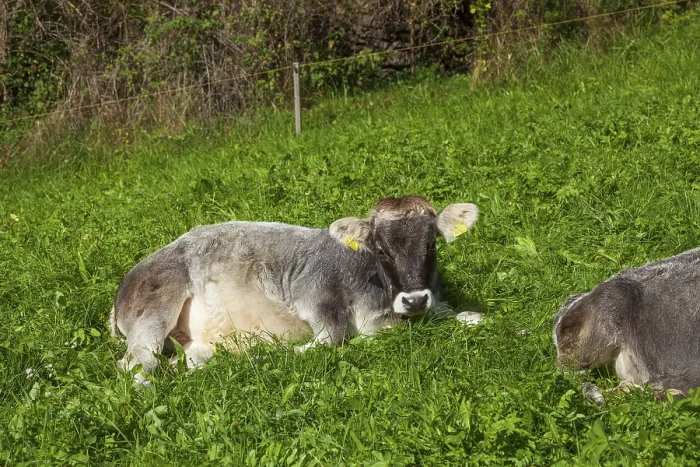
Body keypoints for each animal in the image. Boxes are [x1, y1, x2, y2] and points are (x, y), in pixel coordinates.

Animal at [110, 196, 479, 385]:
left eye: (431, 245)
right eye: (381, 250)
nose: (414, 299)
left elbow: (470, 316)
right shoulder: (318, 299)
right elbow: (330, 341)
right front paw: (263, 355)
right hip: (154, 310)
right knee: (137, 365)